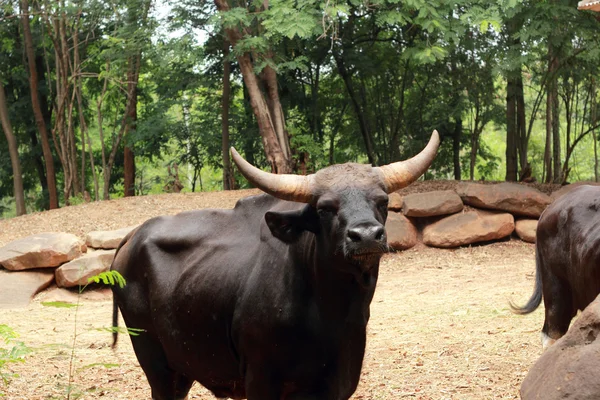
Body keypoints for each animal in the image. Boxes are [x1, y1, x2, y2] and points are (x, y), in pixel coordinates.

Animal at [110, 132, 438, 400]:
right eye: (324, 208)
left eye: (382, 201)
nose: (366, 235)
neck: (328, 315)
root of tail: (131, 237)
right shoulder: (261, 378)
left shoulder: (340, 379)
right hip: (155, 362)